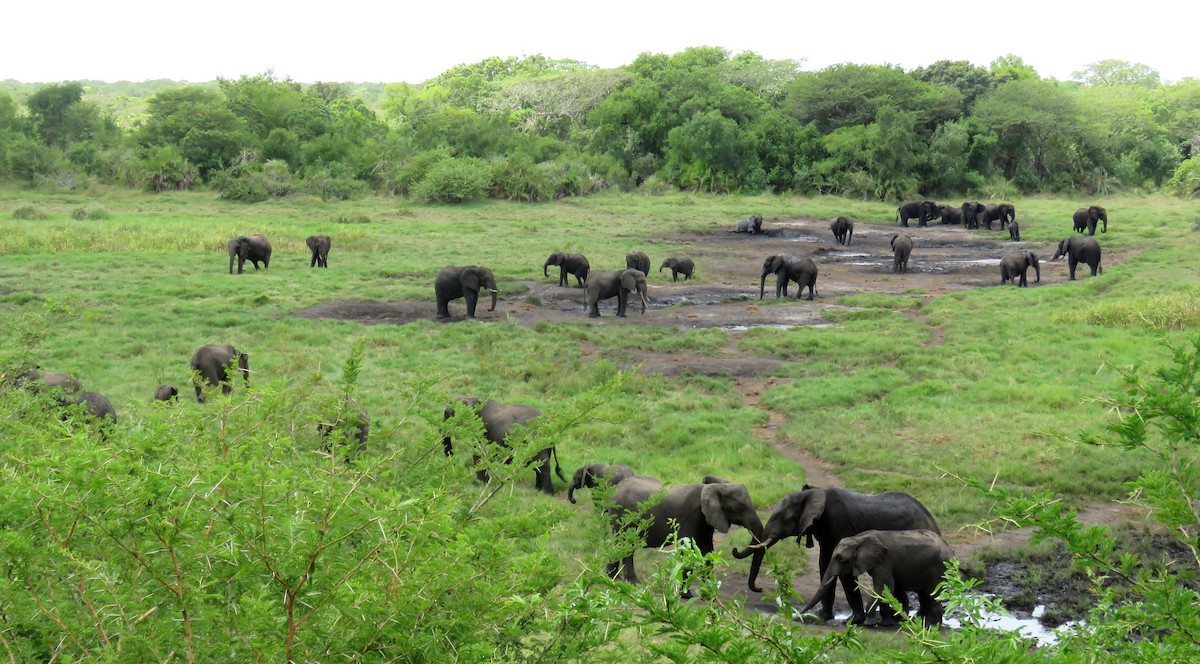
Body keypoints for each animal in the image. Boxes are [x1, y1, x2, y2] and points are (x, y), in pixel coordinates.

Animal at [606, 475, 766, 595]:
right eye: (739, 508)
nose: (760, 589)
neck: (714, 487)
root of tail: (617, 487)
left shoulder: (706, 520)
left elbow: (707, 550)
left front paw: (708, 595)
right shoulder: (690, 516)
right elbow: (687, 550)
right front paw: (687, 595)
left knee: (620, 544)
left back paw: (612, 578)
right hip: (623, 516)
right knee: (626, 545)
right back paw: (632, 583)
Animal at [731, 485, 940, 624]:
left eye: (782, 517)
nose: (759, 589)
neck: (811, 494)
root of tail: (932, 520)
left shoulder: (839, 523)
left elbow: (844, 572)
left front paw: (852, 621)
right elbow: (824, 564)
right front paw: (824, 617)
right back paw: (910, 618)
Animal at [796, 529, 953, 629]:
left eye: (841, 559)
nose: (798, 617)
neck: (859, 539)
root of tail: (949, 549)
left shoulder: (884, 562)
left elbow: (884, 585)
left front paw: (869, 624)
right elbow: (888, 588)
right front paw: (886, 623)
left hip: (938, 569)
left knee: (932, 595)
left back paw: (931, 626)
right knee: (927, 595)